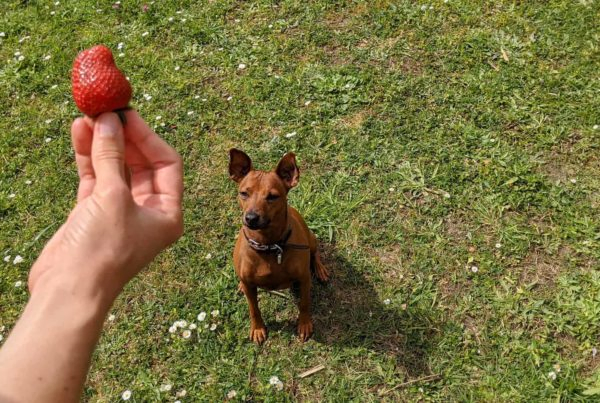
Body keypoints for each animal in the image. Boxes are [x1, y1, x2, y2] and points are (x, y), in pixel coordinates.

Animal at [229, 148, 328, 344]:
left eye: (273, 196)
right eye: (244, 193)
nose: (251, 218)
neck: (269, 246)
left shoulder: (304, 279)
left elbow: (305, 303)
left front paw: (304, 324)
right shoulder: (251, 288)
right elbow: (253, 308)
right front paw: (257, 328)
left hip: (311, 239)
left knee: (316, 255)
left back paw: (320, 270)